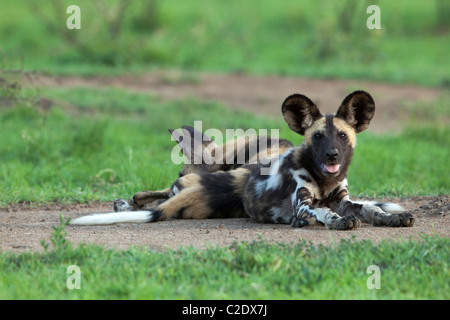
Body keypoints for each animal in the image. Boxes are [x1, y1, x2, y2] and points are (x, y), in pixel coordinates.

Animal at [71, 91, 414, 229]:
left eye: (342, 136)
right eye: (317, 136)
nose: (332, 155)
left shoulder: (342, 200)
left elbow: (367, 208)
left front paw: (388, 217)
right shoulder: (304, 205)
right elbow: (329, 212)